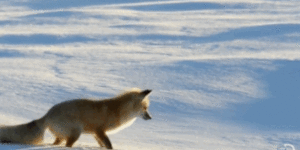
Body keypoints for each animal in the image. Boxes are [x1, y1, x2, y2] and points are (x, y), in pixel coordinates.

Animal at [0, 88, 152, 149]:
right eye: (145, 108)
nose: (150, 117)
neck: (116, 111)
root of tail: (47, 115)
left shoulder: (96, 133)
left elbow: (103, 145)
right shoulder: (99, 130)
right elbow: (109, 145)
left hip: (62, 136)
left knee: (56, 143)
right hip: (75, 133)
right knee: (67, 145)